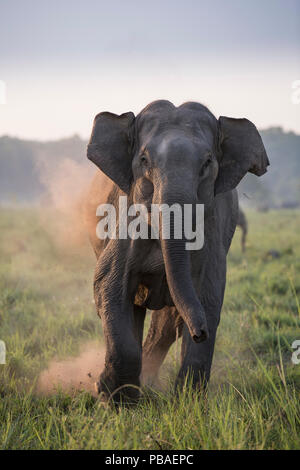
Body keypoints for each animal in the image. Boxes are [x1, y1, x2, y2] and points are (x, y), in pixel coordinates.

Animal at [85, 100, 270, 404]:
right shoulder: (125, 216)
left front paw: (189, 403)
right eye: (144, 160)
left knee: (166, 323)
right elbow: (109, 286)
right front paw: (113, 402)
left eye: (207, 163)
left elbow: (208, 297)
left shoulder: (212, 227)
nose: (199, 333)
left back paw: (149, 381)